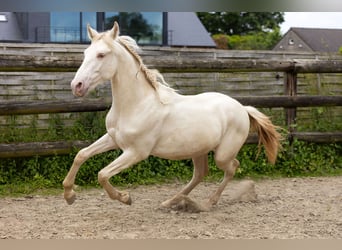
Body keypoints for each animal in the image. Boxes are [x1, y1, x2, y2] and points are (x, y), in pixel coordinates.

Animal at [62, 21, 282, 209]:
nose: (76, 86)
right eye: (85, 53)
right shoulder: (113, 139)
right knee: (200, 174)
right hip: (198, 150)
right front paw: (69, 195)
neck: (137, 104)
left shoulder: (136, 152)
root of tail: (243, 108)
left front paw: (125, 198)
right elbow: (81, 155)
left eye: (101, 54)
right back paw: (172, 201)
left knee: (232, 167)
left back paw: (208, 202)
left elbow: (102, 174)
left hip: (222, 154)